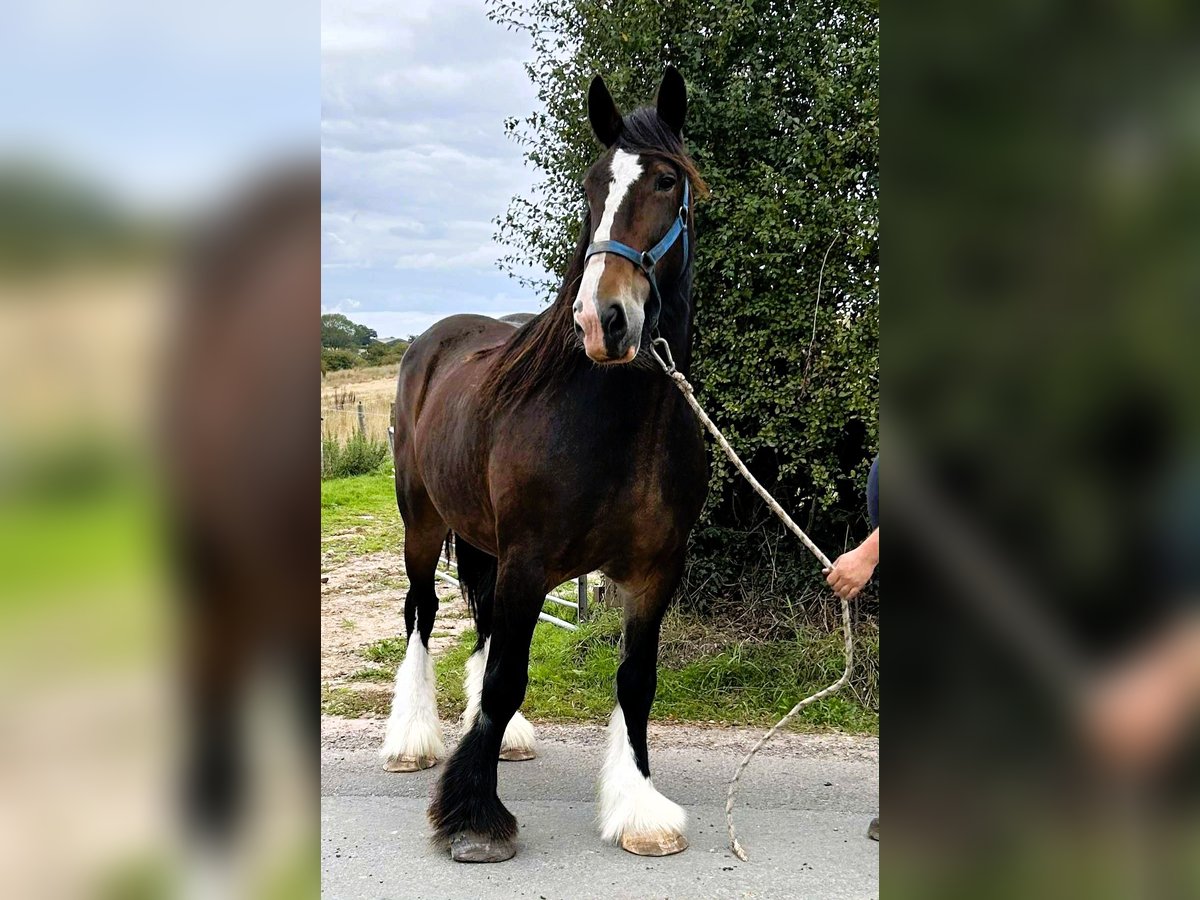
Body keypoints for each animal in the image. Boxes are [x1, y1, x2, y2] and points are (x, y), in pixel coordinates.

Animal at [380, 67, 709, 863]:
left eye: (665, 181)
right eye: (592, 185)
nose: (602, 320)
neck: (618, 424)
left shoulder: (655, 572)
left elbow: (636, 681)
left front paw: (638, 809)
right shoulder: (530, 562)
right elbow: (506, 678)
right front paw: (473, 816)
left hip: (482, 540)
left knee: (478, 618)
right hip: (422, 525)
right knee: (422, 614)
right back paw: (412, 740)